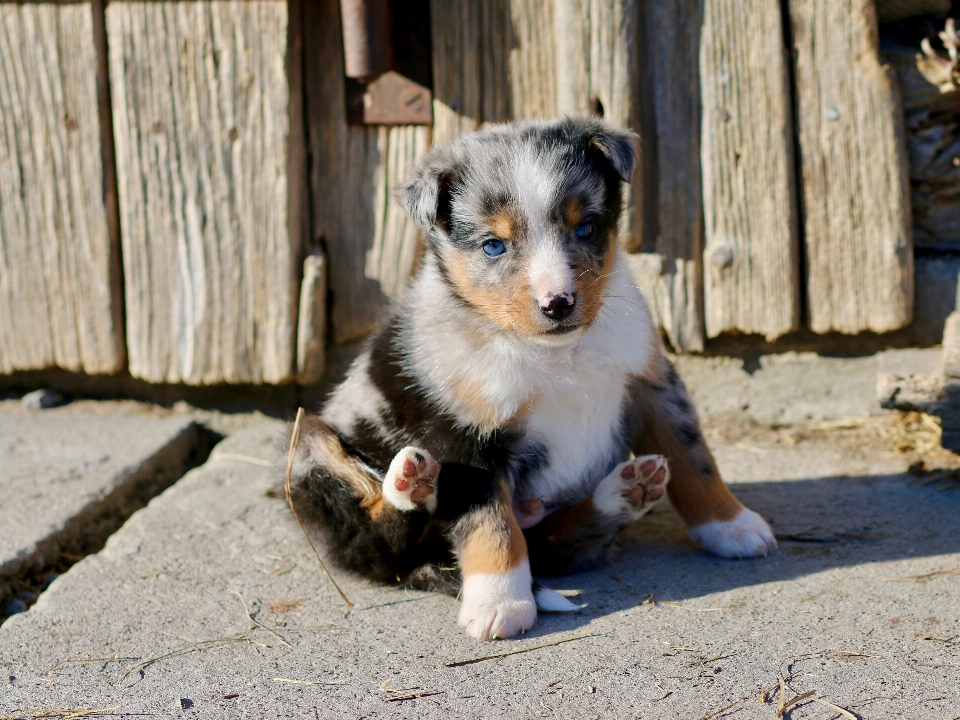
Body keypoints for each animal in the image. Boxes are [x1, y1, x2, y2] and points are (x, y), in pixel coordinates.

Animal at [288, 116, 776, 640]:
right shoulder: (465, 433)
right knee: (381, 542)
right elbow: (492, 522)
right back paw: (412, 484)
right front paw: (499, 603)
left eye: (585, 227)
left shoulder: (650, 381)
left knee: (553, 541)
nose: (557, 303)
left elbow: (693, 458)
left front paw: (732, 526)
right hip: (310, 446)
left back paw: (624, 493)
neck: (554, 353)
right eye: (493, 246)